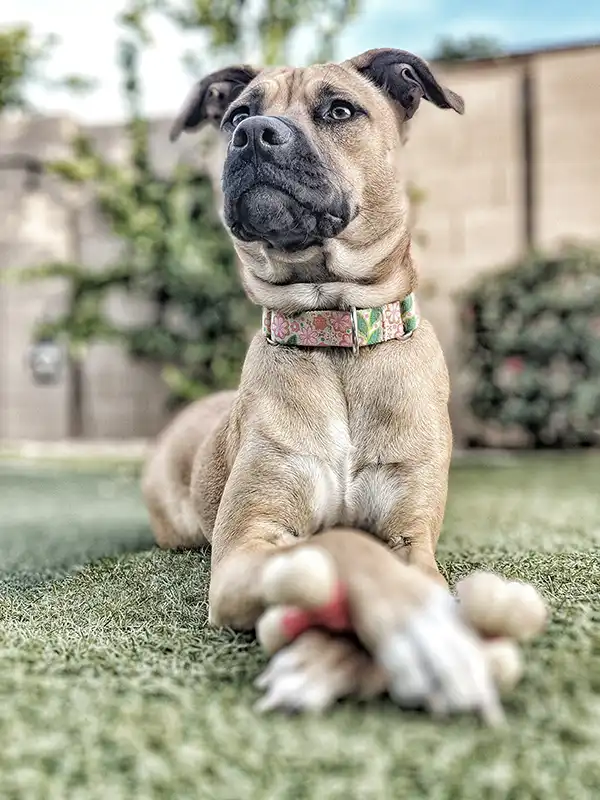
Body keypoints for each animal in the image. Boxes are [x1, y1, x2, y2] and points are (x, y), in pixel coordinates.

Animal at [144, 51, 496, 720]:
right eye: (237, 114)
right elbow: (339, 547)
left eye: (339, 110)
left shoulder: (413, 537)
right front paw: (419, 633)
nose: (254, 134)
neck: (334, 339)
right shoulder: (247, 545)